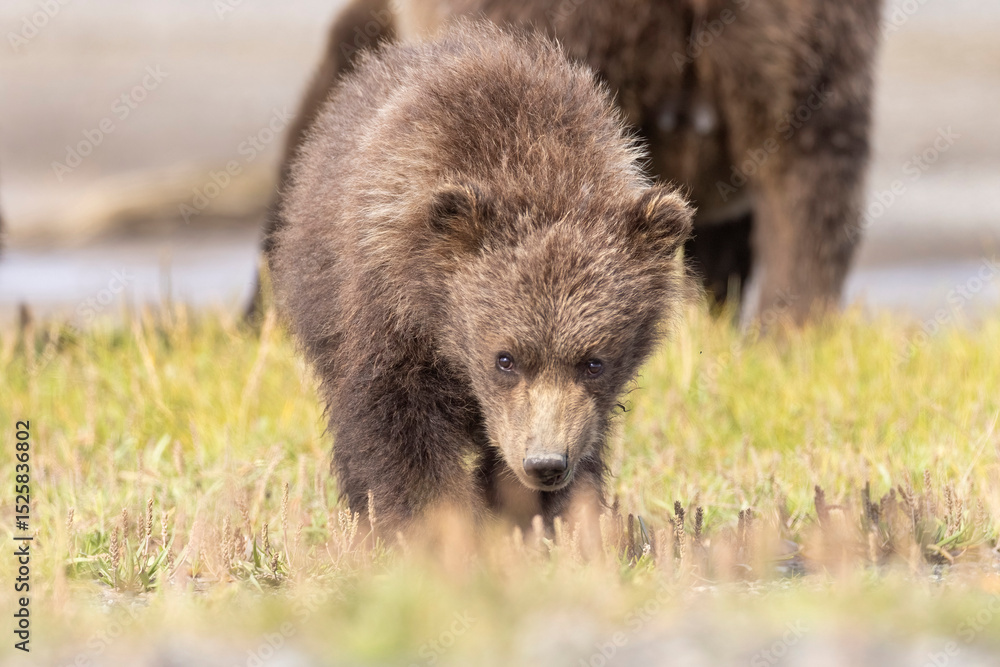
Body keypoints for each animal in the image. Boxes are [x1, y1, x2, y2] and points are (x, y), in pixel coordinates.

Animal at [270, 21, 693, 535]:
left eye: (594, 361)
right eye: (504, 358)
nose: (545, 464)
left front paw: (543, 523)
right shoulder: (390, 316)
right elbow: (396, 431)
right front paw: (436, 528)